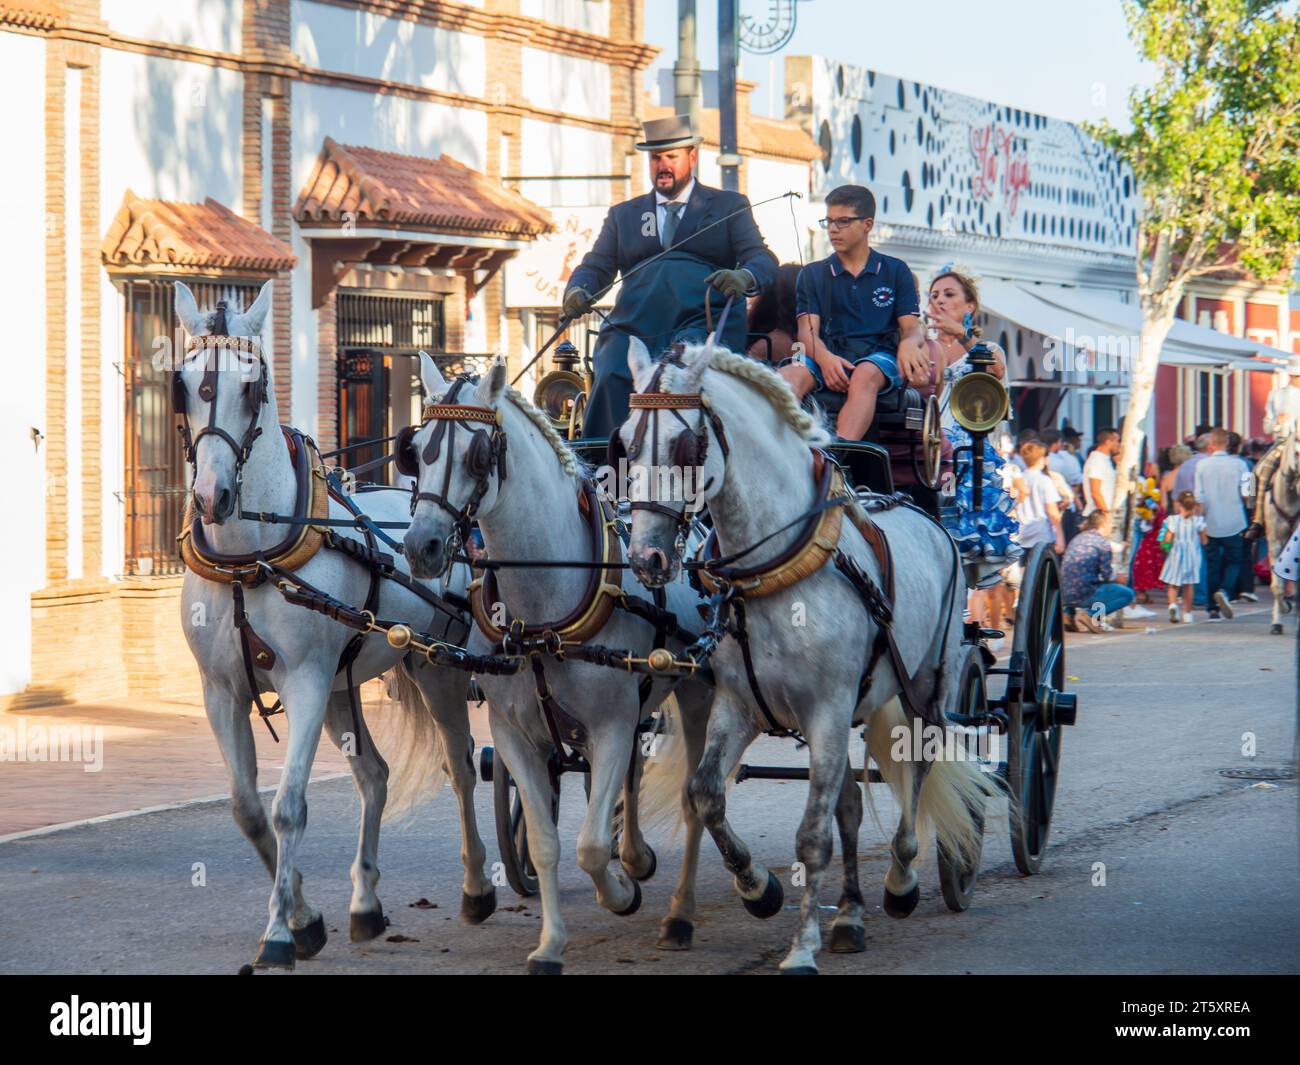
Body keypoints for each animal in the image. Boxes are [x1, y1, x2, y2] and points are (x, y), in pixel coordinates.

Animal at [172, 279, 496, 972]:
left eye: (254, 388)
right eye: (182, 383)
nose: (212, 496)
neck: (248, 557)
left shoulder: (306, 683)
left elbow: (289, 807)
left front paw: (278, 933)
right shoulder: (221, 692)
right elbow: (248, 810)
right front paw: (304, 917)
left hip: (432, 666)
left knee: (462, 764)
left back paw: (480, 885)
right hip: (346, 682)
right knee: (373, 774)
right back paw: (366, 904)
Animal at [400, 358, 717, 972]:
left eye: (479, 455)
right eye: (416, 449)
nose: (420, 547)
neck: (542, 605)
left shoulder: (611, 723)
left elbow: (589, 845)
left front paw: (618, 893)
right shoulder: (514, 734)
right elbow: (547, 842)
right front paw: (550, 943)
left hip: (693, 692)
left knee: (696, 789)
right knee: (631, 776)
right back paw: (635, 855)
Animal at [618, 340, 993, 972]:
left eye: (687, 446)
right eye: (622, 443)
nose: (646, 556)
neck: (775, 569)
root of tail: (928, 516)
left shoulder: (826, 711)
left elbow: (812, 835)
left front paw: (800, 946)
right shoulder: (739, 707)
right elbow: (706, 794)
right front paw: (758, 889)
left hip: (928, 686)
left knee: (920, 761)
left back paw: (901, 878)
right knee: (850, 804)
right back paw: (849, 916)